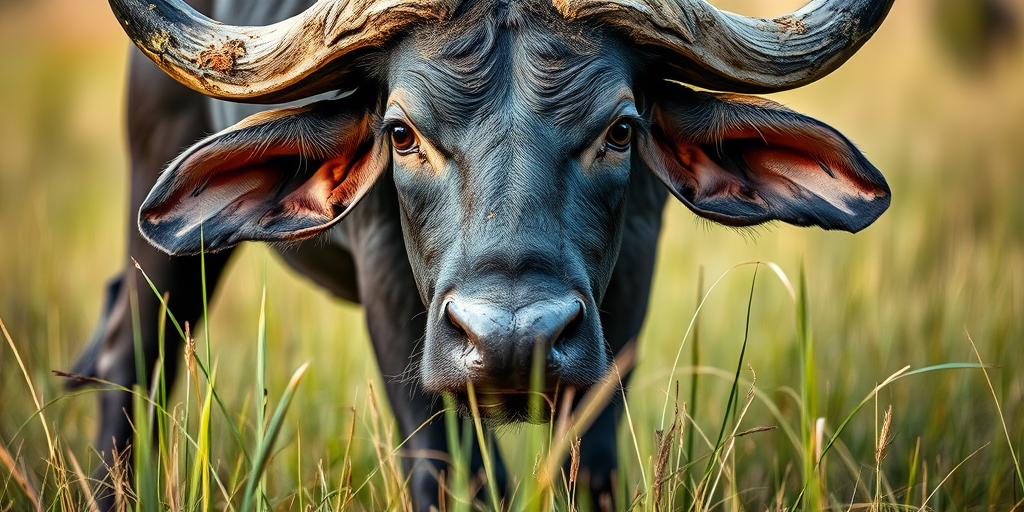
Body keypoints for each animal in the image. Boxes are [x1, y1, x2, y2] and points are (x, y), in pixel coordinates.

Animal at [69, 0, 893, 509]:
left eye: (621, 129)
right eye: (401, 133)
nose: (513, 340)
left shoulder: (624, 295)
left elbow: (588, 466)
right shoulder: (396, 310)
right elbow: (457, 476)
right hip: (163, 211)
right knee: (130, 353)